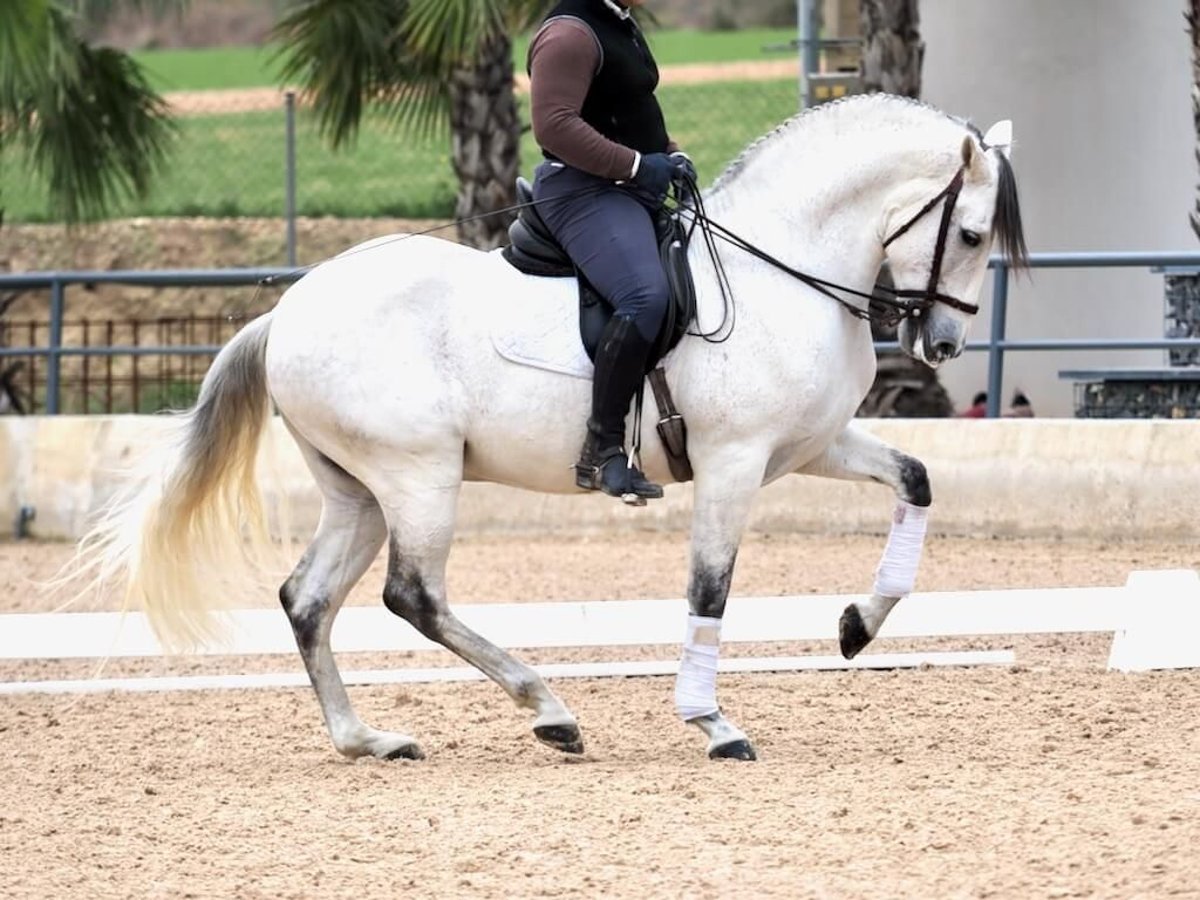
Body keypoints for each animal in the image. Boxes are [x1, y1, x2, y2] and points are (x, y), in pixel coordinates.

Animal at [82, 97, 1022, 763]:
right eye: (972, 234)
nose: (942, 344)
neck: (781, 269)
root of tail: (286, 310)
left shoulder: (810, 446)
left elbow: (915, 480)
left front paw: (858, 625)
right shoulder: (734, 461)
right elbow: (710, 589)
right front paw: (712, 722)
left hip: (361, 492)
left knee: (307, 600)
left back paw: (368, 740)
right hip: (419, 476)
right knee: (413, 596)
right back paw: (549, 711)